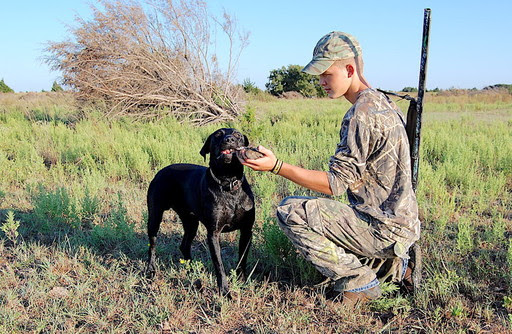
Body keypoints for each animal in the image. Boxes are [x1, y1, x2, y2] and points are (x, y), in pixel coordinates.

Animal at [146, 128, 258, 294]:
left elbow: (242, 259)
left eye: (237, 134)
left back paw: (192, 270)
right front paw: (225, 292)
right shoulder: (213, 234)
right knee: (152, 245)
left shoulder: (246, 230)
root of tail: (160, 171)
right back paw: (151, 270)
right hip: (155, 216)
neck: (228, 182)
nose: (229, 139)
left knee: (184, 245)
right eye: (218, 134)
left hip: (191, 222)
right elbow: (219, 266)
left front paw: (242, 281)